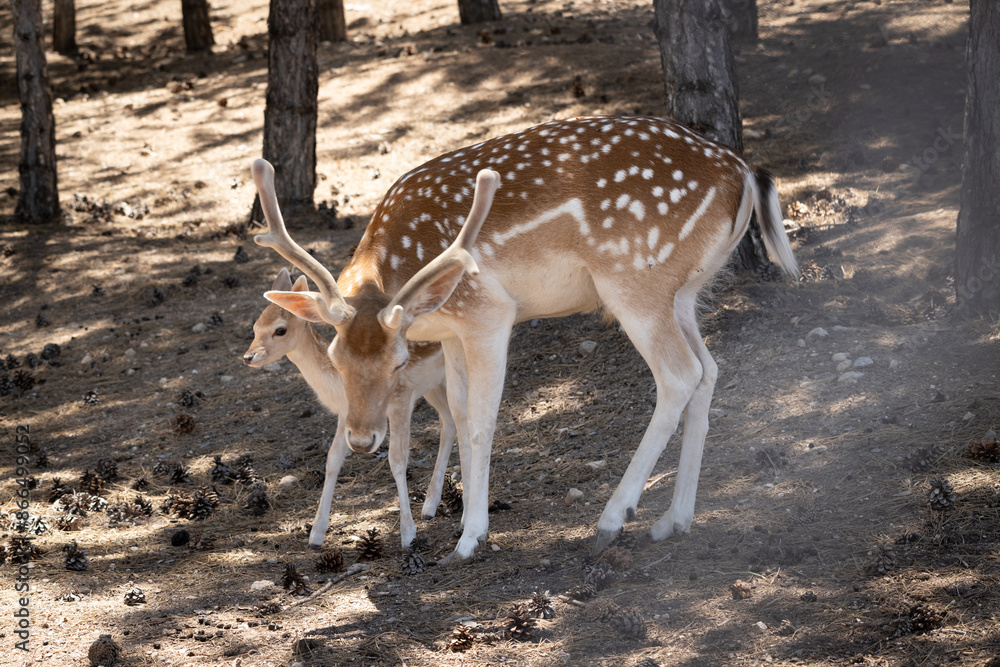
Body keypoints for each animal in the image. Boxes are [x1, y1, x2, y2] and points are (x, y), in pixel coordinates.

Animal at [243, 268, 457, 550]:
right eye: (255, 326)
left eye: (280, 330)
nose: (248, 357)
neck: (337, 384)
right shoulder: (347, 415)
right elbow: (332, 459)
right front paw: (316, 534)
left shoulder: (401, 399)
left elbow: (397, 460)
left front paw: (408, 535)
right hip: (433, 385)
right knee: (449, 422)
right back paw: (431, 505)